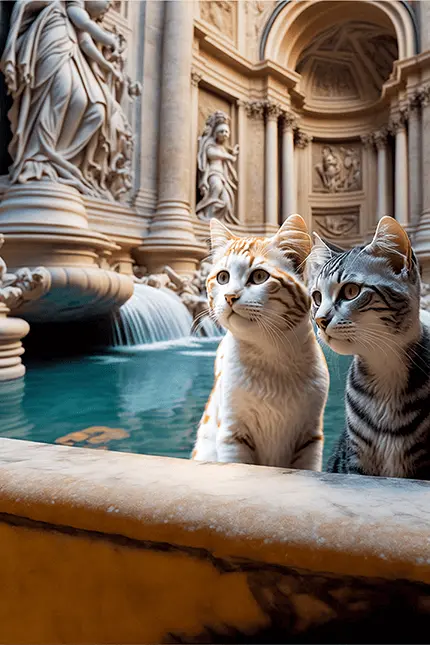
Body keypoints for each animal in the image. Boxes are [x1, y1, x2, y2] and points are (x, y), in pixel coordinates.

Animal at [191, 215, 330, 468]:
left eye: (259, 277)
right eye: (223, 277)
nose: (230, 296)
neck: (270, 352)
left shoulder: (310, 437)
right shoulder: (232, 434)